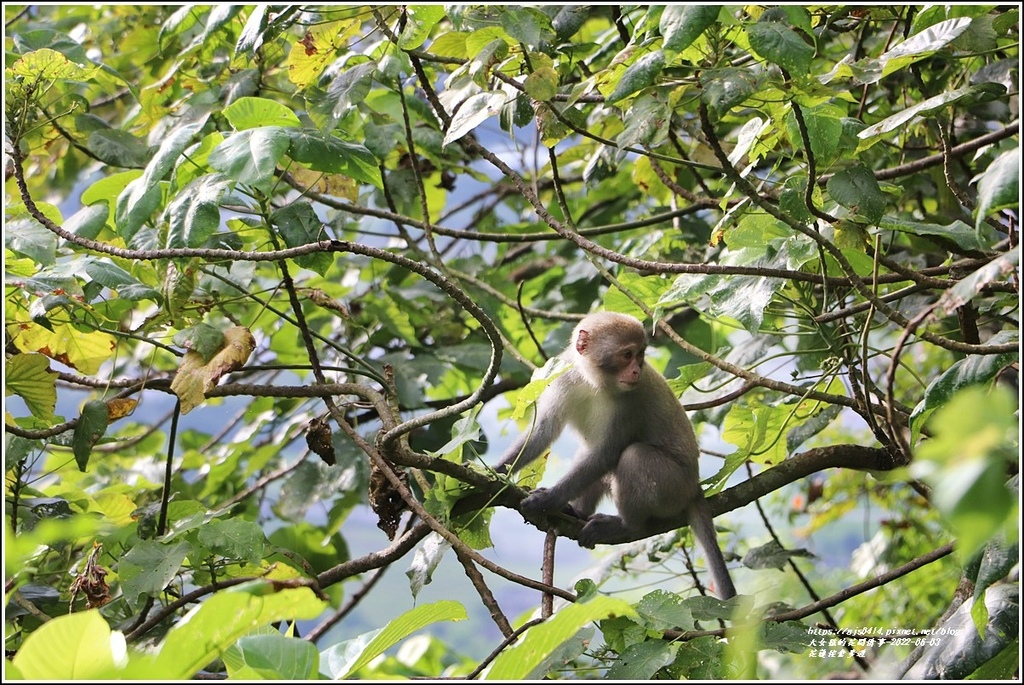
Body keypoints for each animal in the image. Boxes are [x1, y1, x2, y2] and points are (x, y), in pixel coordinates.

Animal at [497, 309, 733, 597]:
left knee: (633, 456)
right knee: (589, 456)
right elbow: (543, 433)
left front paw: (546, 501)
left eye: (640, 354)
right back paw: (579, 513)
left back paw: (626, 525)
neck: (594, 382)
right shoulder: (564, 378)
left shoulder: (631, 400)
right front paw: (491, 472)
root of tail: (695, 487)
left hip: (674, 488)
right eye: (627, 355)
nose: (636, 370)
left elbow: (606, 453)